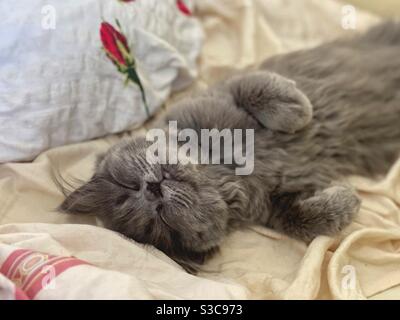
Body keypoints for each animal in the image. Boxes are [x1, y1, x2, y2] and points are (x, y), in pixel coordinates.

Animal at [58, 21, 400, 272]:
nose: (152, 189)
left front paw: (298, 110)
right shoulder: (275, 207)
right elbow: (303, 221)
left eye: (126, 185)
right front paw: (350, 197)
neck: (223, 166)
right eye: (160, 219)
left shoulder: (222, 92)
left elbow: (256, 89)